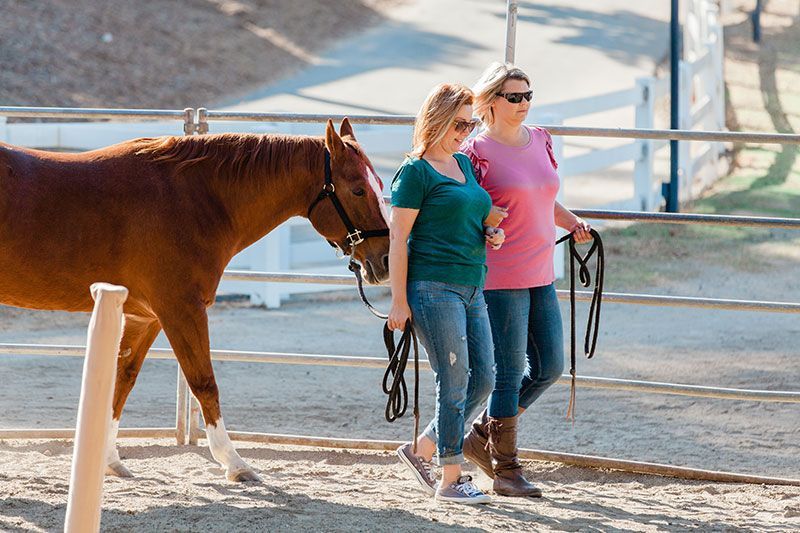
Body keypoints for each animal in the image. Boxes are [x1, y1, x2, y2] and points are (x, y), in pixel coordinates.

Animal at [0, 119, 390, 482]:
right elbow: (204, 382)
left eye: (381, 185)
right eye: (358, 189)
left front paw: (109, 461)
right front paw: (235, 463)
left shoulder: (146, 317)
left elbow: (121, 380)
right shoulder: (181, 309)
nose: (386, 260)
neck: (190, 199)